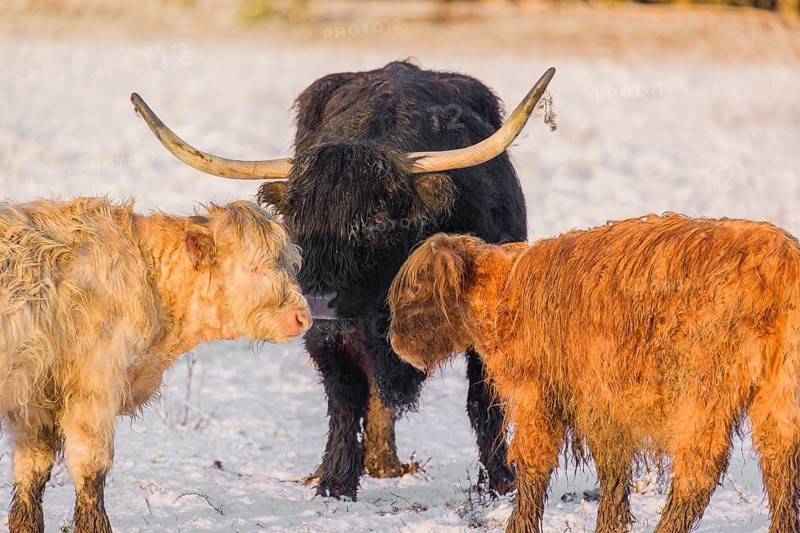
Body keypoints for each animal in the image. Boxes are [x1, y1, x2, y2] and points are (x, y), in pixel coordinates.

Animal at [0, 198, 311, 533]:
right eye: (253, 267)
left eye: (290, 264)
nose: (303, 317)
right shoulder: (94, 387)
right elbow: (90, 468)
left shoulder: (34, 399)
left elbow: (32, 470)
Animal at [130, 62, 555, 500]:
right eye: (295, 219)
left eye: (378, 220)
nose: (319, 301)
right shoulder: (326, 336)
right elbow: (345, 398)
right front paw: (335, 482)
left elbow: (483, 400)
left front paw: (501, 481)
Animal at [388, 216, 800, 533]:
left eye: (416, 289)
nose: (394, 341)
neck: (501, 295)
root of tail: (781, 263)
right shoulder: (604, 403)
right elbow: (613, 471)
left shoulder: (539, 396)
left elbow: (533, 466)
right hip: (779, 392)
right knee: (780, 462)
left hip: (702, 389)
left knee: (699, 471)